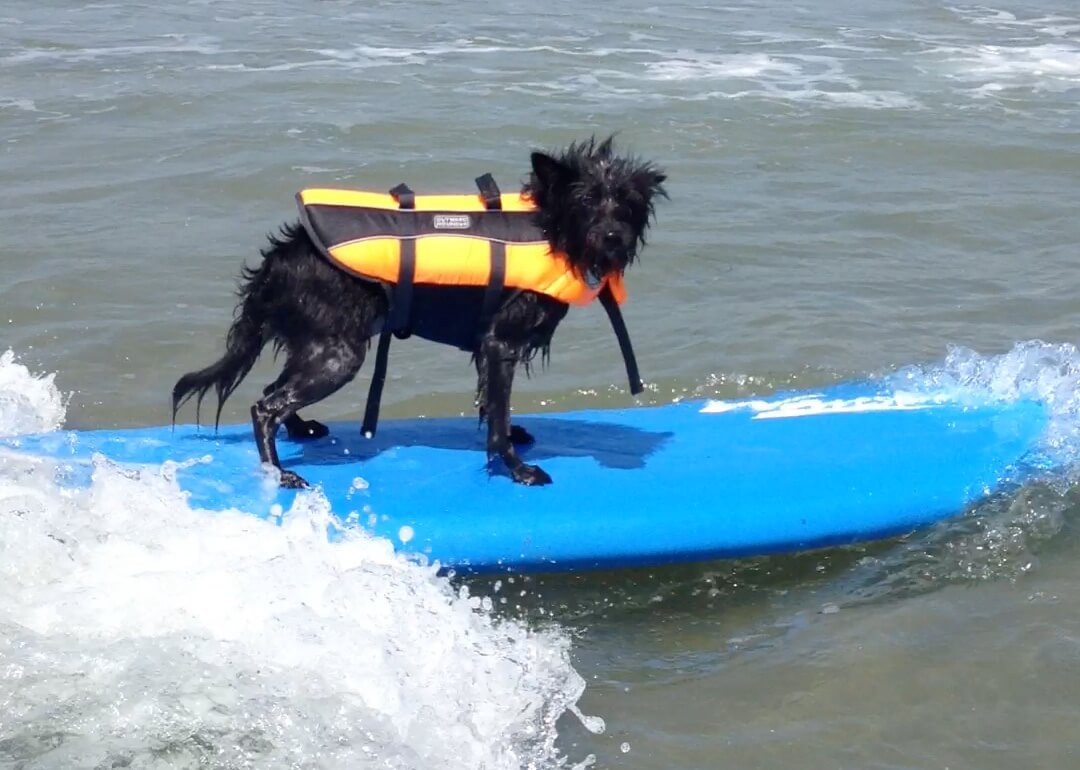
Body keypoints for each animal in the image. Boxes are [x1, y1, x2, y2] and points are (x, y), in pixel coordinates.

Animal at [171, 136, 660, 485]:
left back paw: (301, 429)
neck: (550, 228)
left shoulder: (490, 350)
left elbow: (492, 405)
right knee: (264, 407)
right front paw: (516, 468)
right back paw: (280, 472)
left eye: (626, 202)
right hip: (338, 354)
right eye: (587, 200)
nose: (613, 236)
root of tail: (284, 255)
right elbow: (498, 416)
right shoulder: (499, 343)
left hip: (316, 344)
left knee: (275, 390)